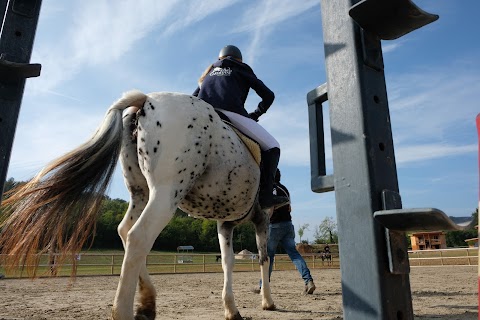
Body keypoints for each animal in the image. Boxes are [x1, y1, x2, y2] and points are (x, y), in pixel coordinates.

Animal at [0, 90, 276, 320]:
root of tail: (146, 100)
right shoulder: (262, 219)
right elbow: (263, 258)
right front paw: (267, 302)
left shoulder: (225, 223)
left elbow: (228, 262)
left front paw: (232, 308)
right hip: (166, 193)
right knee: (139, 236)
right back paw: (124, 310)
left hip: (141, 193)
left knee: (125, 231)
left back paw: (146, 303)